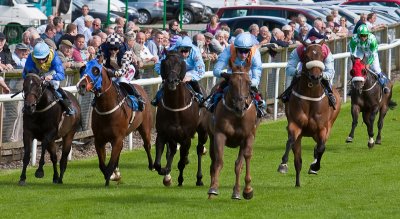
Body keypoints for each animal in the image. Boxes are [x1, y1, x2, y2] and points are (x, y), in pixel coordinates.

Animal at [153, 51, 208, 186]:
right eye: (165, 63)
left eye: (180, 63)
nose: (172, 81)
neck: (175, 108)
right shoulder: (162, 134)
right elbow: (157, 163)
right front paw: (165, 171)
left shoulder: (186, 138)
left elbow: (182, 162)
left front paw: (180, 178)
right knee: (172, 150)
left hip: (203, 131)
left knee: (199, 149)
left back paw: (199, 178)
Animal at [205, 60, 258, 200]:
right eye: (231, 82)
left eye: (248, 82)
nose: (240, 106)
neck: (237, 115)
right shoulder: (219, 134)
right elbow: (218, 161)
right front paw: (213, 189)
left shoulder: (247, 136)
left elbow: (242, 161)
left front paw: (246, 190)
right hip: (211, 136)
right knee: (213, 161)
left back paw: (237, 191)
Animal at [278, 42, 340, 187]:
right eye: (306, 56)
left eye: (322, 56)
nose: (316, 77)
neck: (311, 97)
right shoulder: (295, 125)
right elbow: (290, 142)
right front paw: (283, 164)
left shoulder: (322, 129)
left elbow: (322, 148)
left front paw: (315, 166)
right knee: (298, 160)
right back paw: (297, 183)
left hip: (328, 126)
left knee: (319, 147)